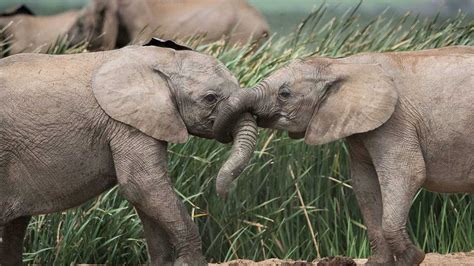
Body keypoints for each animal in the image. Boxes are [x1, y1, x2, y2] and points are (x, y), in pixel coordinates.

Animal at [0, 40, 258, 266]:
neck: (161, 61)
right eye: (210, 98)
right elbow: (143, 186)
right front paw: (189, 263)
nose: (223, 194)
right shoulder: (124, 122)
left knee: (15, 227)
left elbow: (146, 195)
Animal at [215, 46, 474, 266]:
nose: (225, 195)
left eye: (284, 94)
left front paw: (412, 259)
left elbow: (408, 172)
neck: (344, 64)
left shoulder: (395, 120)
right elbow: (364, 184)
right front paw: (378, 263)